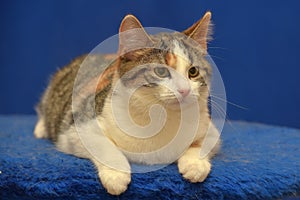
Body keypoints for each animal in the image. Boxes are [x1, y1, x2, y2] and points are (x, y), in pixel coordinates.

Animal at [34, 10, 220, 195]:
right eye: (161, 71)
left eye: (193, 71)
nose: (184, 90)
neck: (163, 116)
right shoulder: (77, 127)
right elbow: (103, 145)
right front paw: (116, 175)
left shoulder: (209, 127)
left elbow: (204, 142)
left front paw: (195, 164)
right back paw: (41, 128)